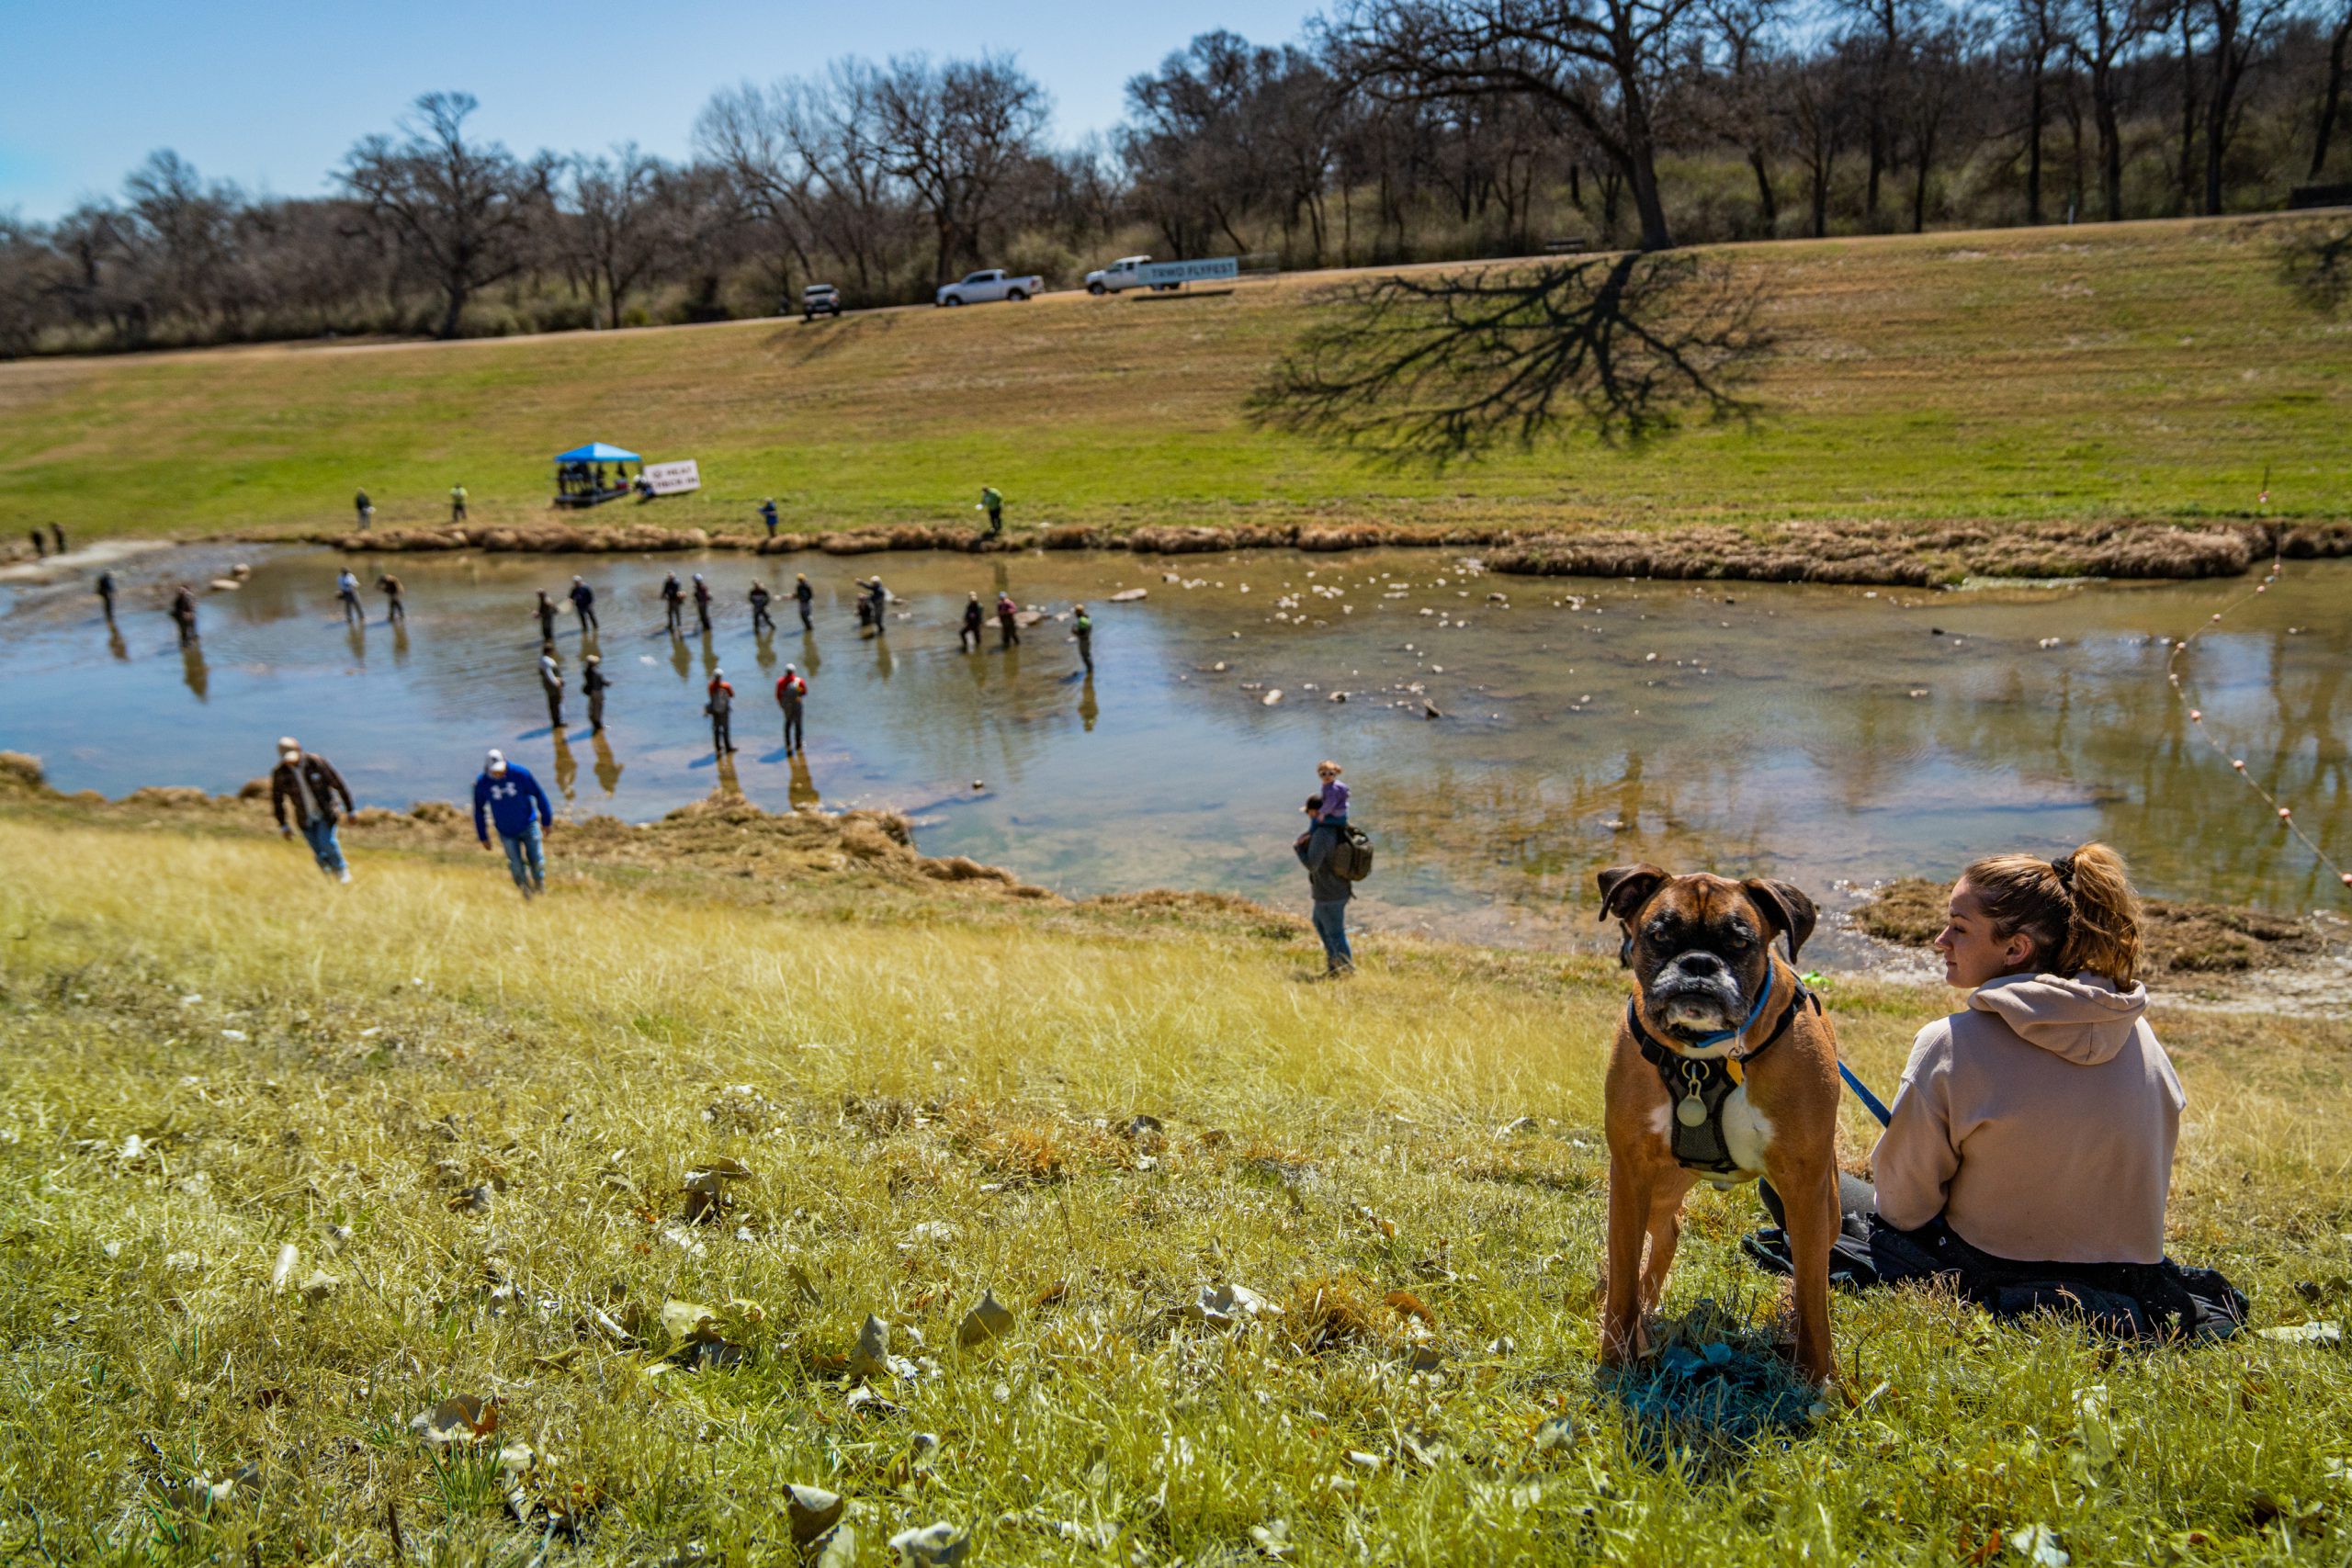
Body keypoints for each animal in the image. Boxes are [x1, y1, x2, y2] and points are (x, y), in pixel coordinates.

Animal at [1589, 869, 1844, 1382]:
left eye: (1740, 942)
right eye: (1659, 936)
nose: (1699, 965)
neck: (1704, 1057)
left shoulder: (1805, 1187)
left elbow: (1813, 1292)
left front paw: (1815, 1377)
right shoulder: (1629, 1174)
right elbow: (1622, 1279)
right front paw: (1616, 1361)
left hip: (1827, 1205)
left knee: (1809, 1265)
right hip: (1657, 1188)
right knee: (1666, 1234)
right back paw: (1645, 1317)